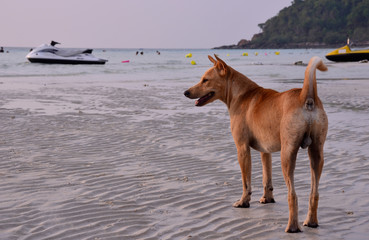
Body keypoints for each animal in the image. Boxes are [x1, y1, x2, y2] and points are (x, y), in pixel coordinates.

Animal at [184, 55, 328, 232]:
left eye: (205, 80)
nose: (186, 92)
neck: (242, 94)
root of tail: (305, 97)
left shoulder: (242, 148)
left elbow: (246, 181)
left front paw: (243, 202)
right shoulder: (265, 150)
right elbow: (267, 178)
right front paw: (267, 198)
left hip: (287, 155)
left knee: (292, 194)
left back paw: (292, 226)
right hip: (316, 154)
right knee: (314, 192)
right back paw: (311, 221)